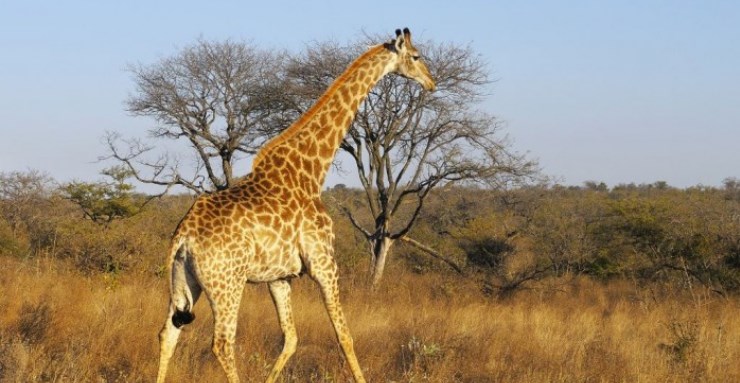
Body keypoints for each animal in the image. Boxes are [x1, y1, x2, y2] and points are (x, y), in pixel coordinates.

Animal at [155, 27, 434, 383]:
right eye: (416, 56)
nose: (431, 82)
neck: (310, 171)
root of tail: (183, 236)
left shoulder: (280, 277)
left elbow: (290, 338)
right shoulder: (324, 263)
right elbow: (344, 335)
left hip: (185, 281)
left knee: (168, 333)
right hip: (227, 284)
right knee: (222, 343)